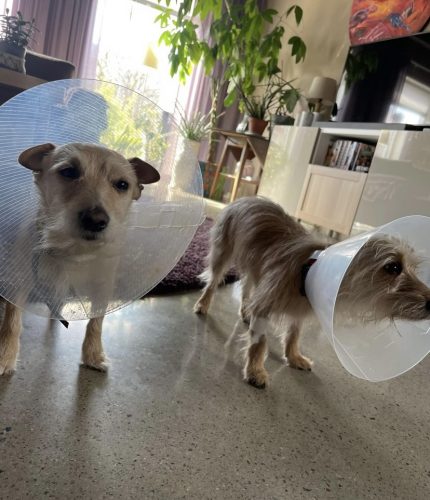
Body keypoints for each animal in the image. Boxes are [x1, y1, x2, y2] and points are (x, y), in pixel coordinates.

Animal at [0, 142, 160, 376]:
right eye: (69, 172)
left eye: (122, 184)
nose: (96, 220)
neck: (73, 250)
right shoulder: (19, 283)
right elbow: (12, 321)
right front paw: (5, 356)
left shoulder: (102, 288)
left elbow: (96, 323)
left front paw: (93, 355)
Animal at [194, 196, 430, 388]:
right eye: (393, 267)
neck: (307, 271)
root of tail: (244, 198)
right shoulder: (265, 304)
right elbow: (259, 342)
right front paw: (255, 370)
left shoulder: (298, 311)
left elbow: (293, 335)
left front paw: (293, 357)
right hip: (223, 254)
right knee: (213, 282)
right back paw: (203, 304)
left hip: (254, 267)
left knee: (246, 287)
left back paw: (245, 312)